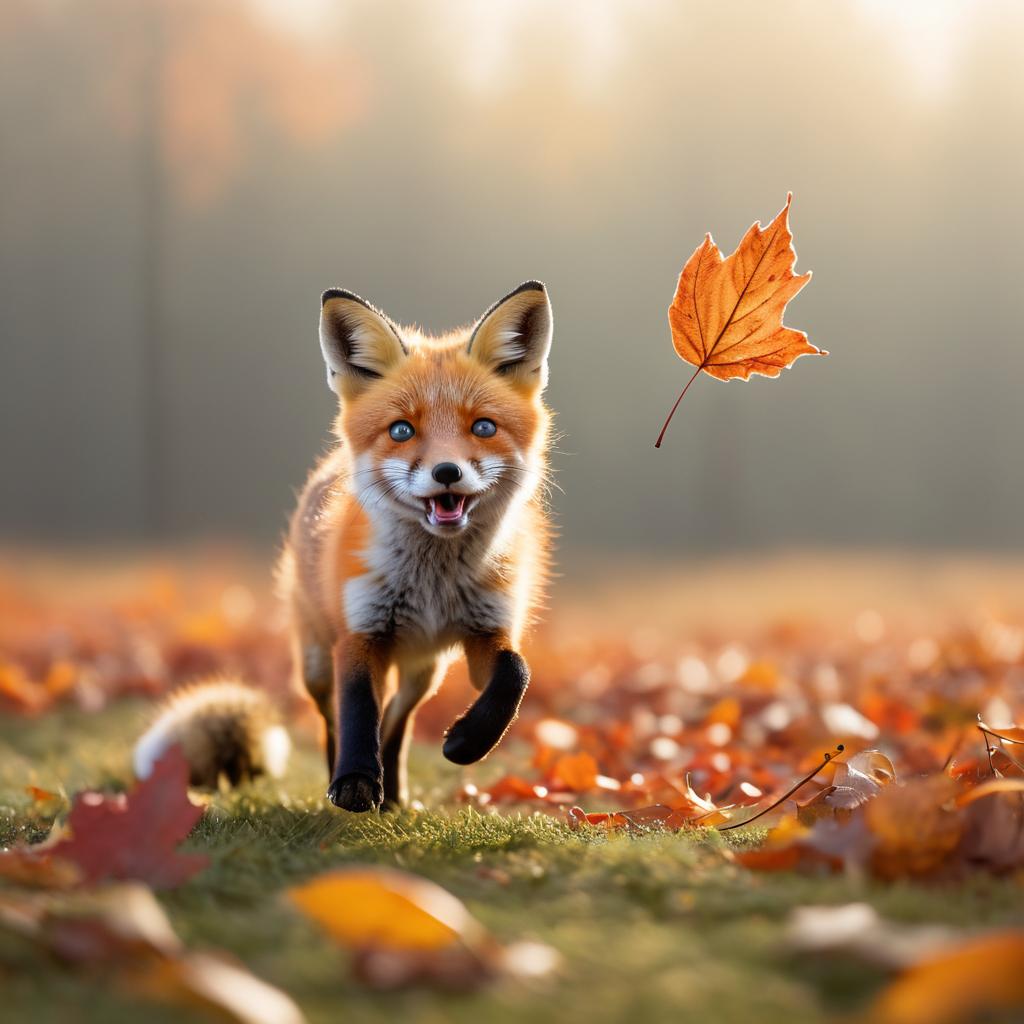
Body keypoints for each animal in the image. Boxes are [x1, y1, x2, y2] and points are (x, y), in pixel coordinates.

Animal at [272, 278, 557, 806]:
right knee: (333, 716)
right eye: (401, 430)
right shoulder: (361, 633)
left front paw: (468, 741)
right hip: (317, 661)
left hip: (425, 670)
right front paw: (355, 781)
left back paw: (396, 793)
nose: (447, 472)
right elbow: (357, 711)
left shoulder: (488, 630)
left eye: (483, 427)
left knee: (398, 716)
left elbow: (516, 674)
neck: (434, 583)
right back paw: (343, 775)